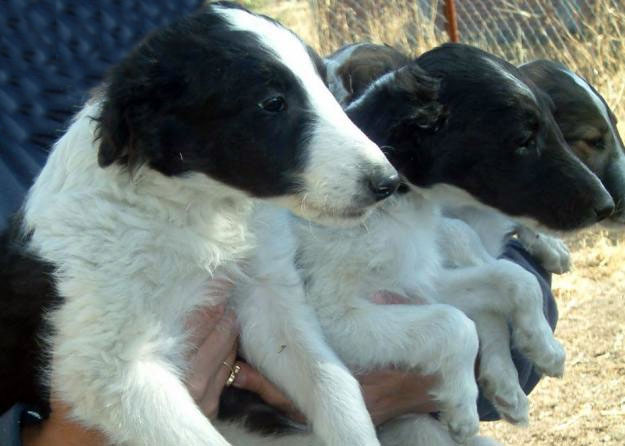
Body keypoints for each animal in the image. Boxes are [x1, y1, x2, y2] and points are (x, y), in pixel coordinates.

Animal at [0, 4, 398, 446]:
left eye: (328, 88)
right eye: (272, 103)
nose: (388, 183)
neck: (198, 211)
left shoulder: (269, 301)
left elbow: (334, 384)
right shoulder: (108, 366)